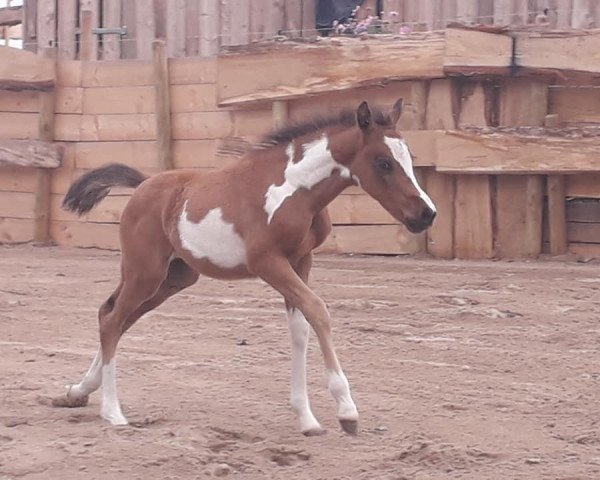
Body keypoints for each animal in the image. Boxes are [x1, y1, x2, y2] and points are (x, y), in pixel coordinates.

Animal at [54, 100, 434, 436]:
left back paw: (78, 391)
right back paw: (112, 412)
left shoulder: (300, 261)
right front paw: (347, 411)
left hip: (173, 277)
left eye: (409, 158)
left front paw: (307, 419)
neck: (295, 189)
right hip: (144, 271)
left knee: (113, 315)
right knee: (113, 320)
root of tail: (144, 185)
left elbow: (300, 328)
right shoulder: (267, 262)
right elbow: (318, 310)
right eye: (383, 163)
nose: (426, 214)